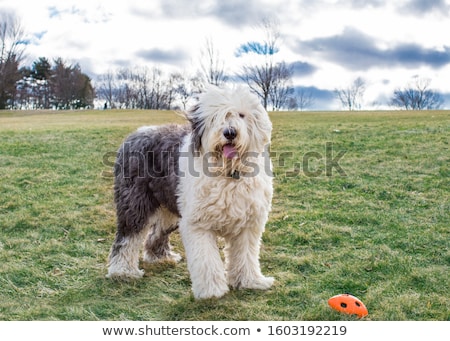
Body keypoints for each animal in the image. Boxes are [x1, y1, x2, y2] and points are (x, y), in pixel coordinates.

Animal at [107, 85, 272, 298]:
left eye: (242, 115)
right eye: (215, 118)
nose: (230, 133)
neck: (228, 173)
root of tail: (136, 133)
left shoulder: (248, 224)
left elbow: (246, 256)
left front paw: (250, 281)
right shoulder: (198, 224)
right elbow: (207, 260)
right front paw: (212, 291)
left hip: (170, 206)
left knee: (156, 233)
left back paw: (161, 257)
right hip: (135, 202)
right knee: (128, 236)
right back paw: (123, 271)